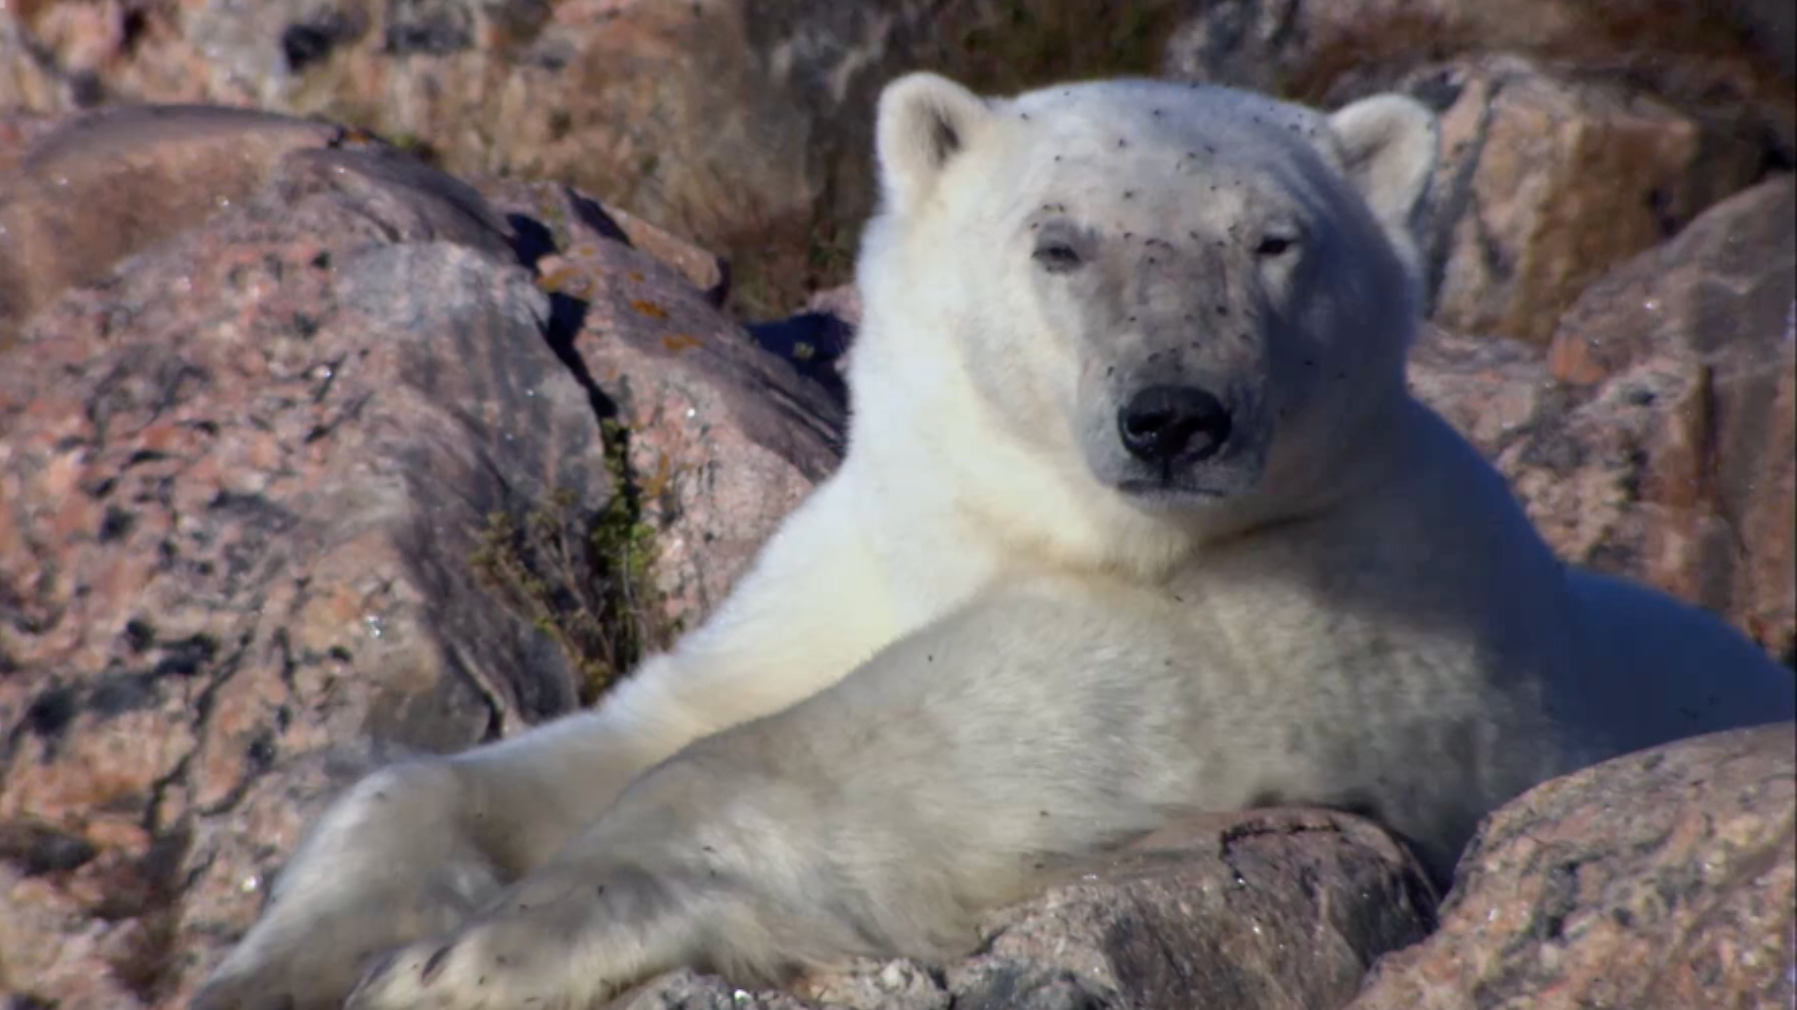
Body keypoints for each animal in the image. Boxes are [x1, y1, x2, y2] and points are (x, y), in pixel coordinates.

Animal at [192, 73, 1796, 1010]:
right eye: (1060, 240)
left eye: (1275, 241)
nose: (1177, 416)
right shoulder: (845, 566)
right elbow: (656, 715)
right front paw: (282, 957)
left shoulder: (1355, 605)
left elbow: (967, 727)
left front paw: (479, 948)